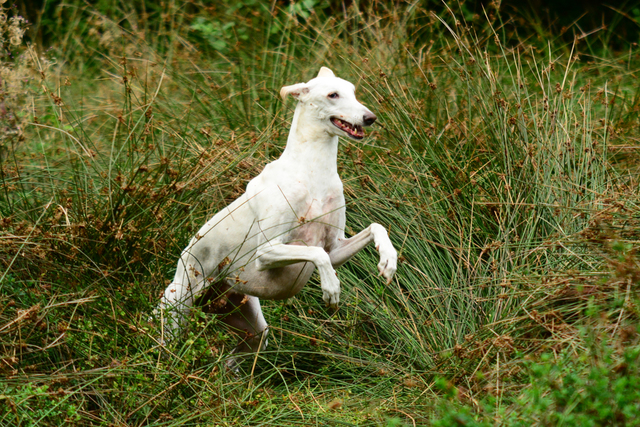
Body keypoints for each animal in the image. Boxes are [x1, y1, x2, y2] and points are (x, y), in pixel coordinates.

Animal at [156, 67, 396, 368]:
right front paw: (331, 287)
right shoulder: (267, 251)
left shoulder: (337, 248)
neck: (312, 171)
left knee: (232, 362)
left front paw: (388, 259)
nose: (370, 118)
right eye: (333, 94)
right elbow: (317, 253)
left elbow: (375, 227)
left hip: (252, 329)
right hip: (177, 310)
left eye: (353, 91)